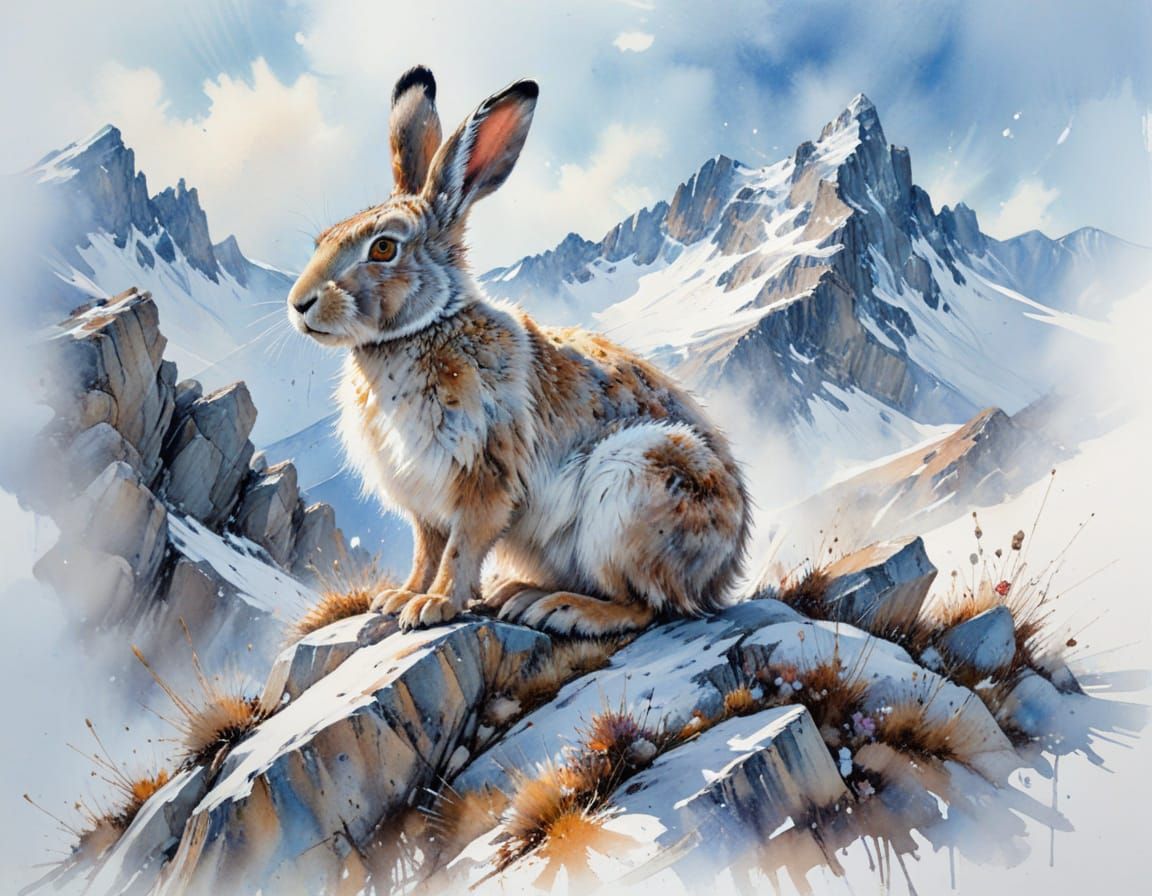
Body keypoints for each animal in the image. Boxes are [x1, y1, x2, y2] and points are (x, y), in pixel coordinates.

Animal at [287, 65, 751, 636]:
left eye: (384, 248)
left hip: (633, 491)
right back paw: (518, 593)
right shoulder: (424, 502)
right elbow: (426, 549)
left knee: (649, 604)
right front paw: (399, 597)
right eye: (322, 240)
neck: (421, 328)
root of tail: (723, 570)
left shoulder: (485, 477)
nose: (299, 304)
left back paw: (563, 608)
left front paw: (432, 606)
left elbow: (460, 548)